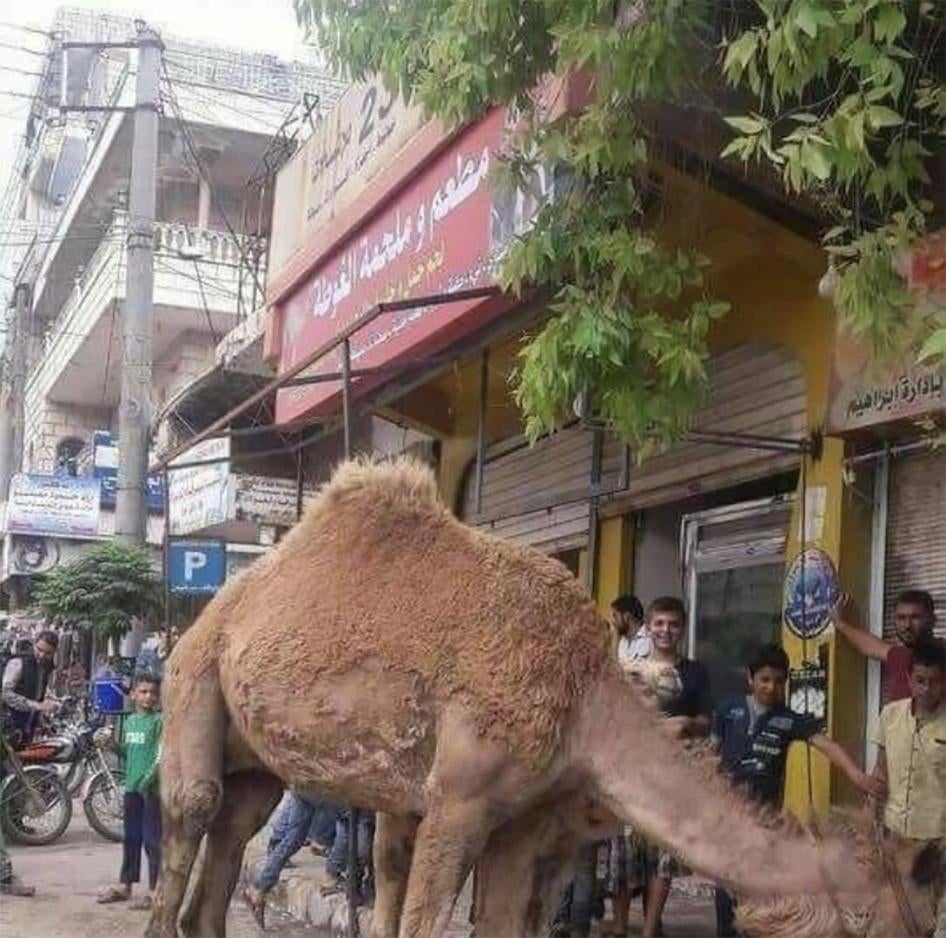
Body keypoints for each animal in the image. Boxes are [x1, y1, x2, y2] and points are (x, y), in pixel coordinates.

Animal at [145, 458, 937, 938]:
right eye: (918, 918)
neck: (587, 696)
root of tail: (216, 609)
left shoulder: (527, 821)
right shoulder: (462, 801)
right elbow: (430, 921)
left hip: (254, 759)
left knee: (230, 840)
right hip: (195, 677)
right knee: (193, 812)